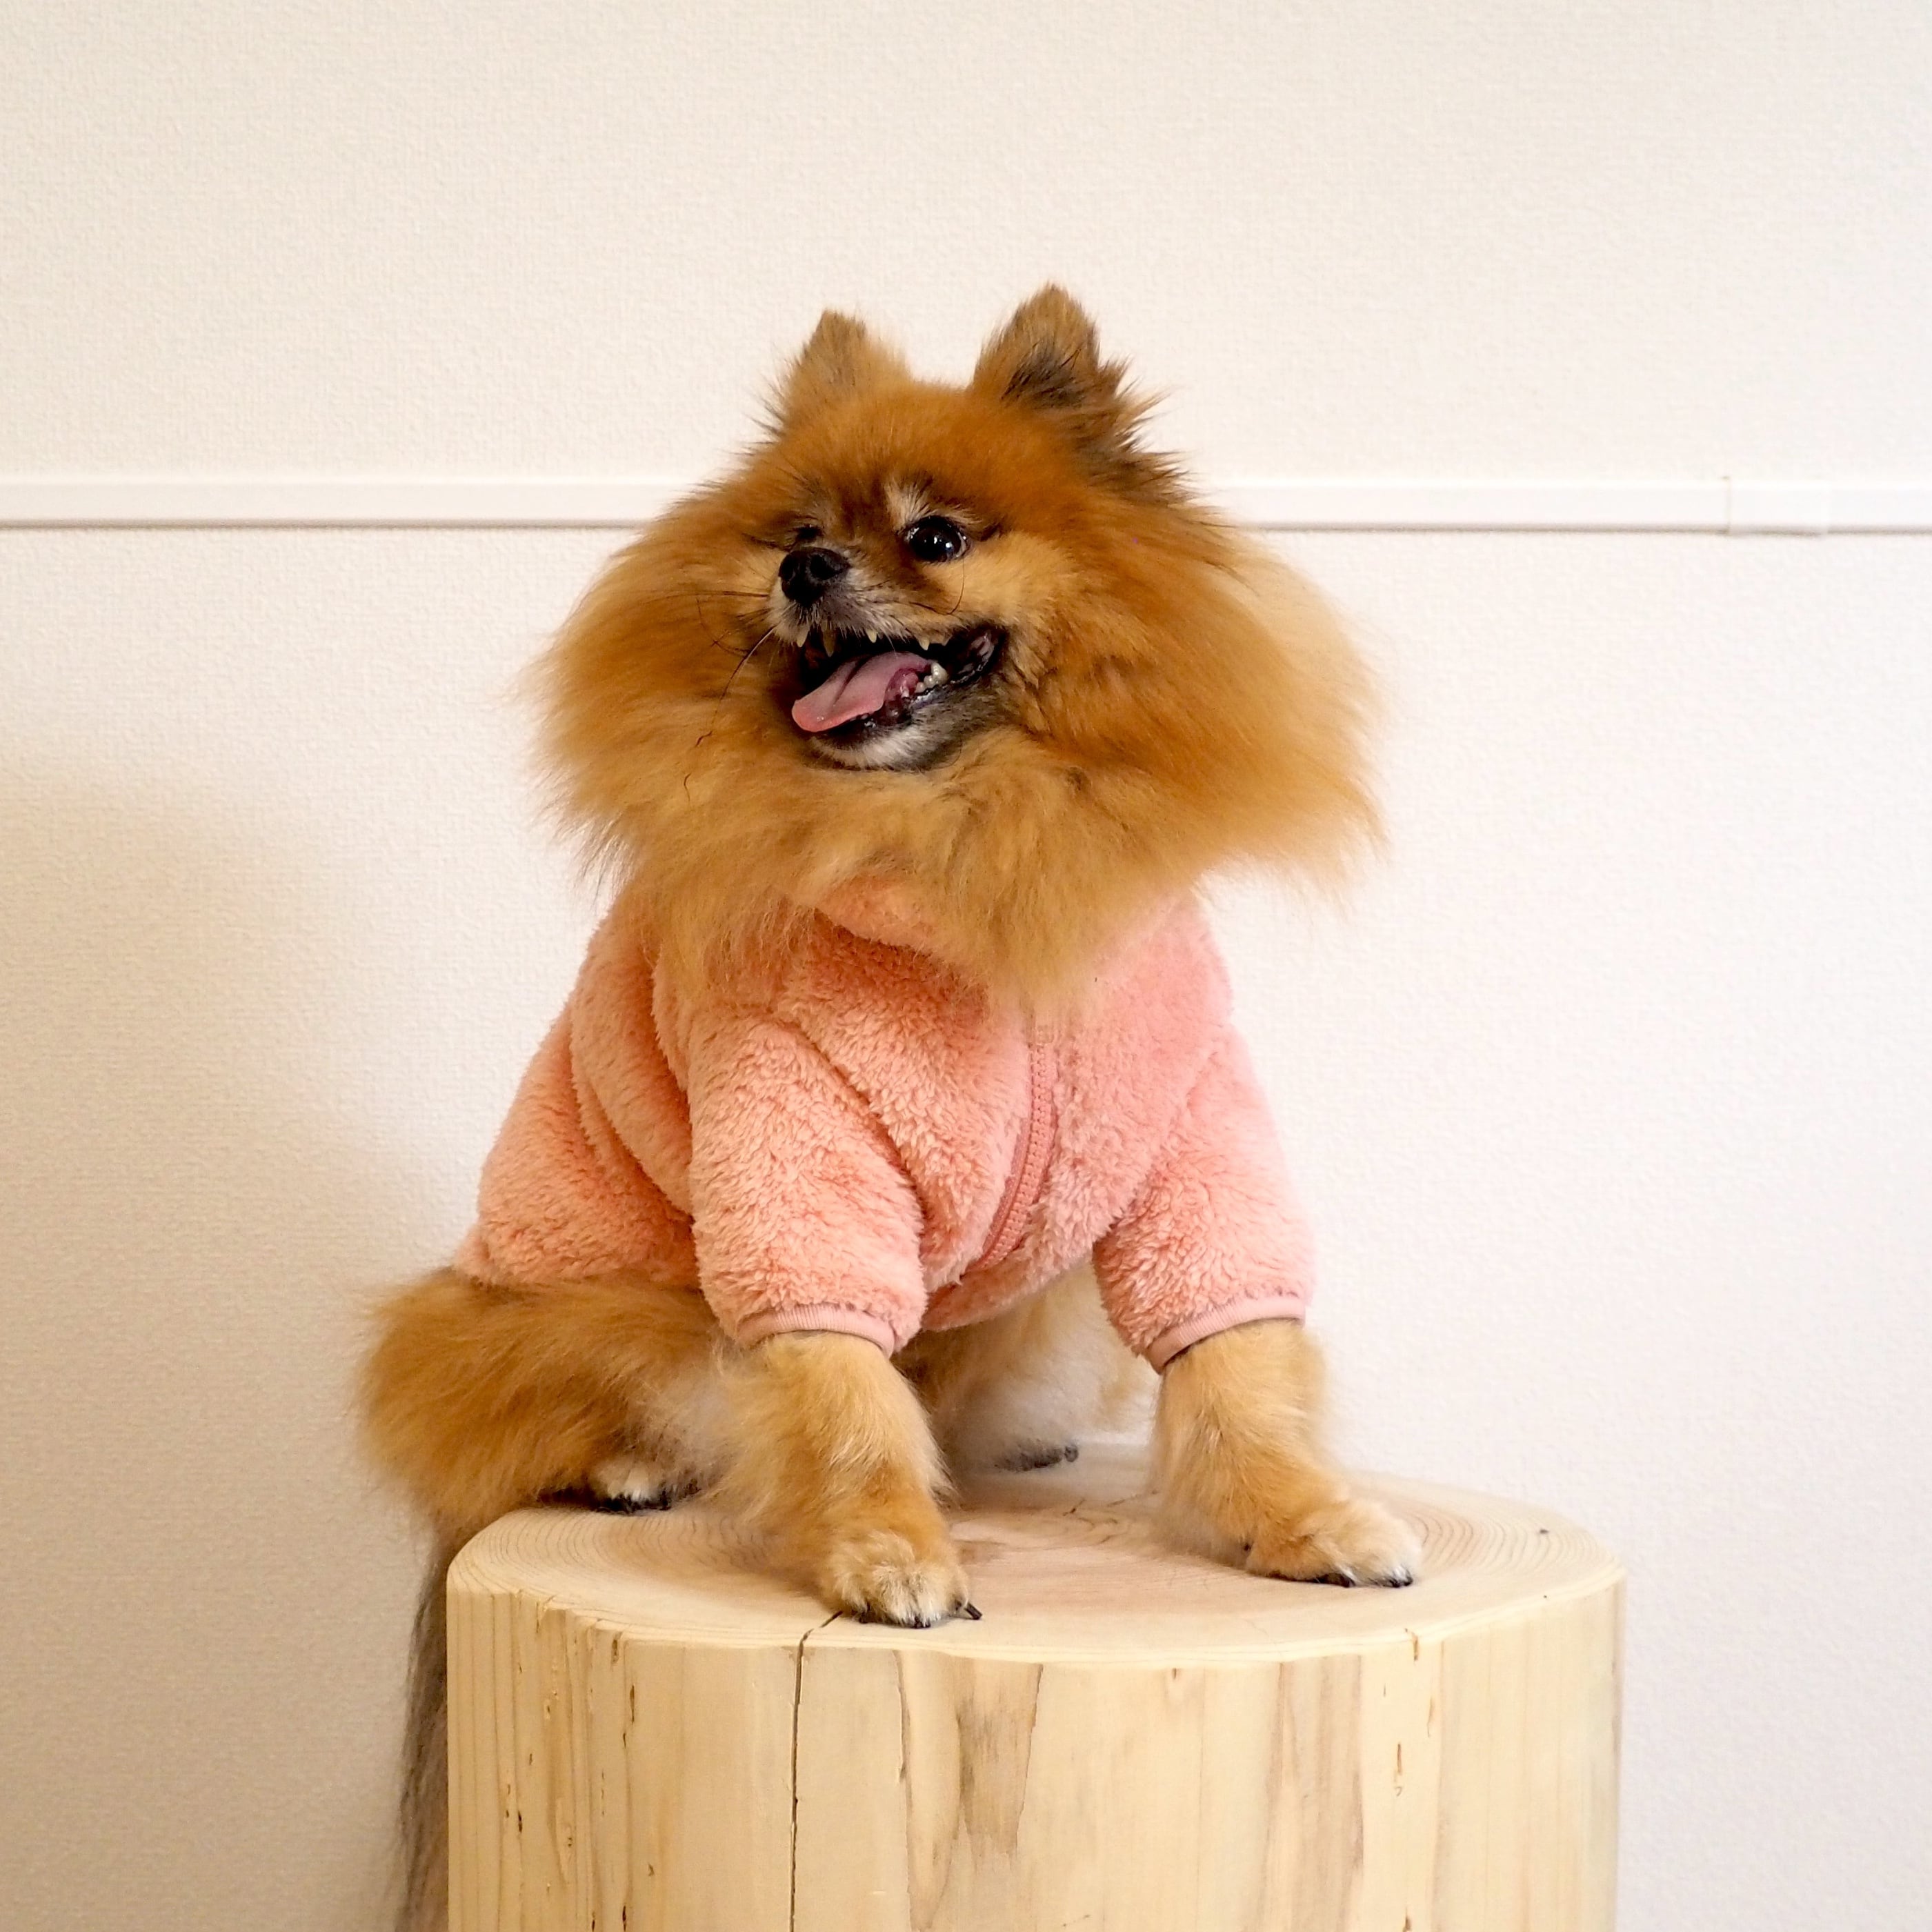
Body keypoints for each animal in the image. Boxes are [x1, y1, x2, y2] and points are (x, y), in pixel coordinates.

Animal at [362, 287, 1419, 1930]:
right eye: (797, 531)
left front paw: (1308, 1517)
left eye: (933, 537)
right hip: (592, 1309)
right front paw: (885, 1550)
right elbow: (842, 1390)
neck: (958, 850)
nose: (806, 570)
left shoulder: (1190, 1130)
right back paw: (630, 1460)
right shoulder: (794, 1154)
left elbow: (1237, 1363)